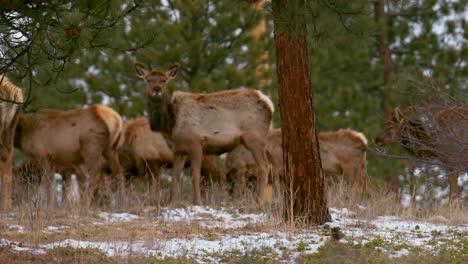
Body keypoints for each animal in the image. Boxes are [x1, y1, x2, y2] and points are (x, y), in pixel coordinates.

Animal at [134, 62, 274, 206]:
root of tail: (269, 104)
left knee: (264, 166)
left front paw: (198, 202)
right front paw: (171, 202)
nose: (156, 89)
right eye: (148, 80)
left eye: (164, 80)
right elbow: (175, 176)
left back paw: (259, 201)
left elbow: (195, 174)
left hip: (255, 138)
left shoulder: (196, 143)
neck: (171, 125)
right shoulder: (178, 150)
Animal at [225, 128, 374, 200]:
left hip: (351, 168)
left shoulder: (276, 170)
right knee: (369, 188)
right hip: (362, 168)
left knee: (358, 188)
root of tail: (364, 143)